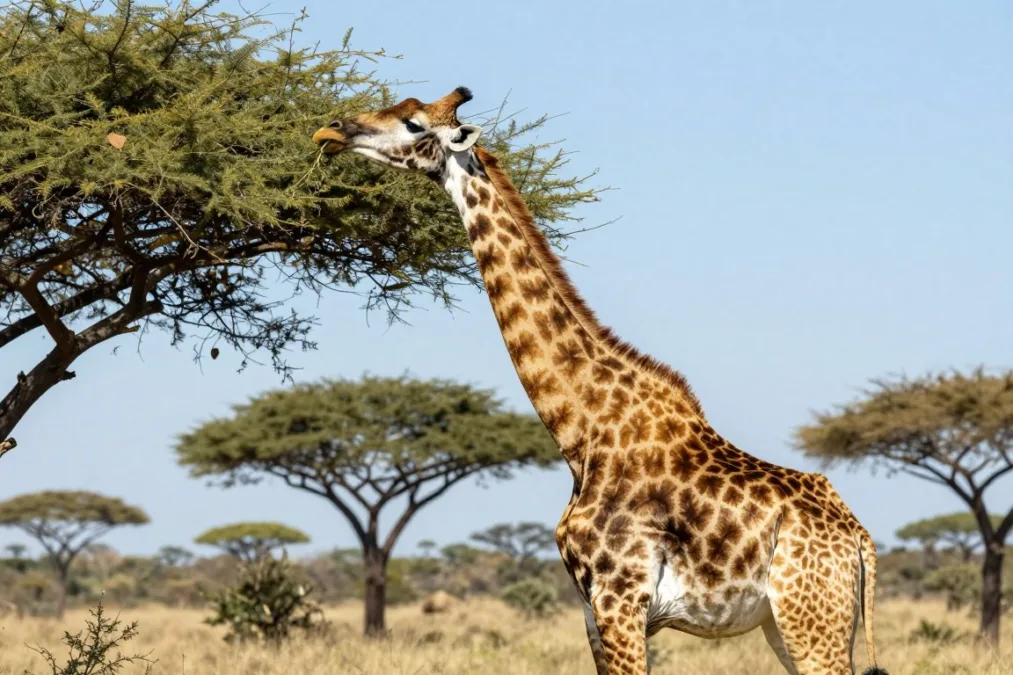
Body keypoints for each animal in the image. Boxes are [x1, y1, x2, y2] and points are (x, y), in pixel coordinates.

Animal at [312, 88, 889, 675]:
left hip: (811, 618)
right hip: (787, 623)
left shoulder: (621, 599)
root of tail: (859, 538)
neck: (580, 430)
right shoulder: (592, 610)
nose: (331, 131)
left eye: (412, 124)